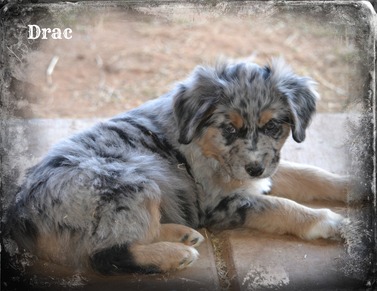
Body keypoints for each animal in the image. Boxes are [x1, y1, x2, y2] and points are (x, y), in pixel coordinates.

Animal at [5, 58, 348, 276]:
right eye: (229, 128)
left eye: (273, 126)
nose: (254, 169)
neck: (206, 144)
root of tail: (19, 214)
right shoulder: (223, 203)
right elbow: (279, 206)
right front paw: (326, 221)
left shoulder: (266, 168)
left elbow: (309, 174)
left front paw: (350, 184)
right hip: (133, 181)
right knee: (103, 256)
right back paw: (175, 254)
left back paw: (180, 234)